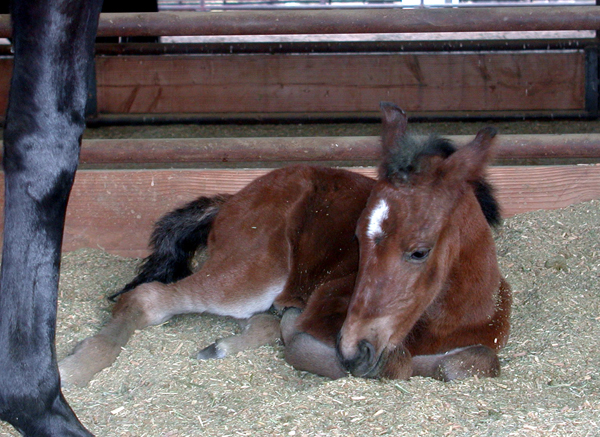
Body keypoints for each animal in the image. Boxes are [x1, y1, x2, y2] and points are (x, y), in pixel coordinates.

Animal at [59, 104, 510, 386]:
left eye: (419, 250)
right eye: (357, 239)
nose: (354, 347)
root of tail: (231, 199)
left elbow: (471, 363)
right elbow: (375, 361)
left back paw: (224, 344)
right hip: (254, 274)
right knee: (147, 298)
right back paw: (77, 365)